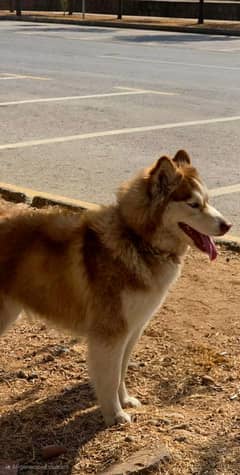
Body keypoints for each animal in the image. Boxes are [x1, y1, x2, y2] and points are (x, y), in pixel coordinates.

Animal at [0, 151, 232, 426]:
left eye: (207, 201)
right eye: (193, 204)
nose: (228, 225)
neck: (137, 239)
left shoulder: (132, 330)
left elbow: (121, 372)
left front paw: (125, 401)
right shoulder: (110, 333)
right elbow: (110, 377)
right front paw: (115, 414)